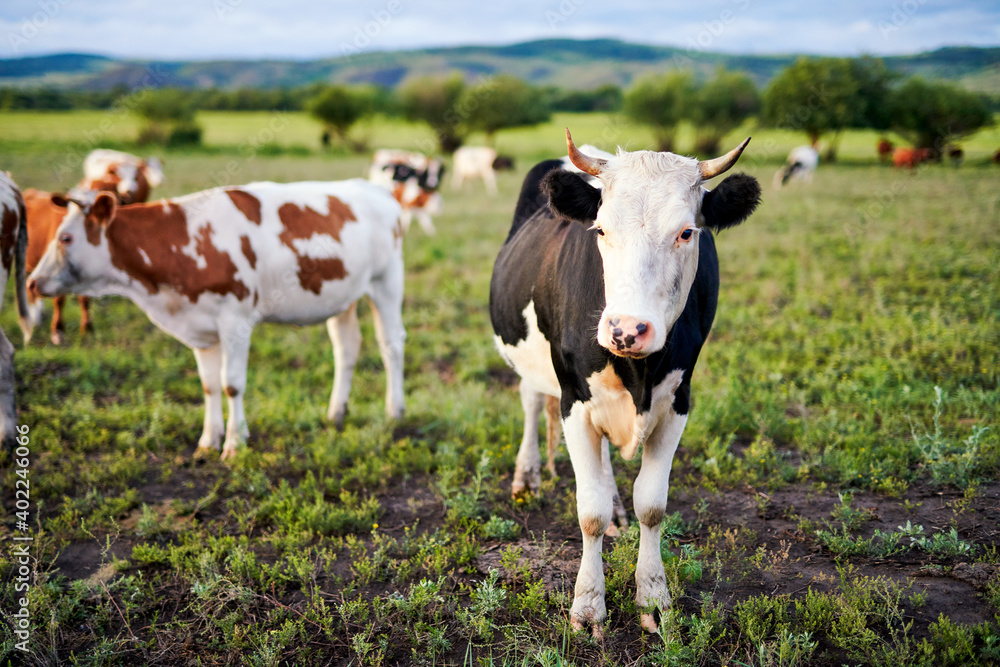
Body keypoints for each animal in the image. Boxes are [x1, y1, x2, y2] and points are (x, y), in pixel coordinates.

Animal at [31, 180, 406, 462]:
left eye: (65, 238)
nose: (32, 282)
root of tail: (376, 189)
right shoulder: (200, 327)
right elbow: (209, 385)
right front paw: (208, 441)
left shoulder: (235, 320)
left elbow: (232, 383)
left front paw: (235, 444)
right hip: (342, 295)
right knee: (347, 348)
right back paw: (335, 413)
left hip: (387, 283)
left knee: (391, 346)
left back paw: (394, 411)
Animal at [488, 130, 760, 636]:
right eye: (600, 231)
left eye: (687, 232)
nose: (627, 330)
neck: (637, 373)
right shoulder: (575, 401)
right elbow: (588, 511)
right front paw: (587, 606)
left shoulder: (678, 401)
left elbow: (651, 505)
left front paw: (653, 597)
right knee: (532, 400)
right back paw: (526, 476)